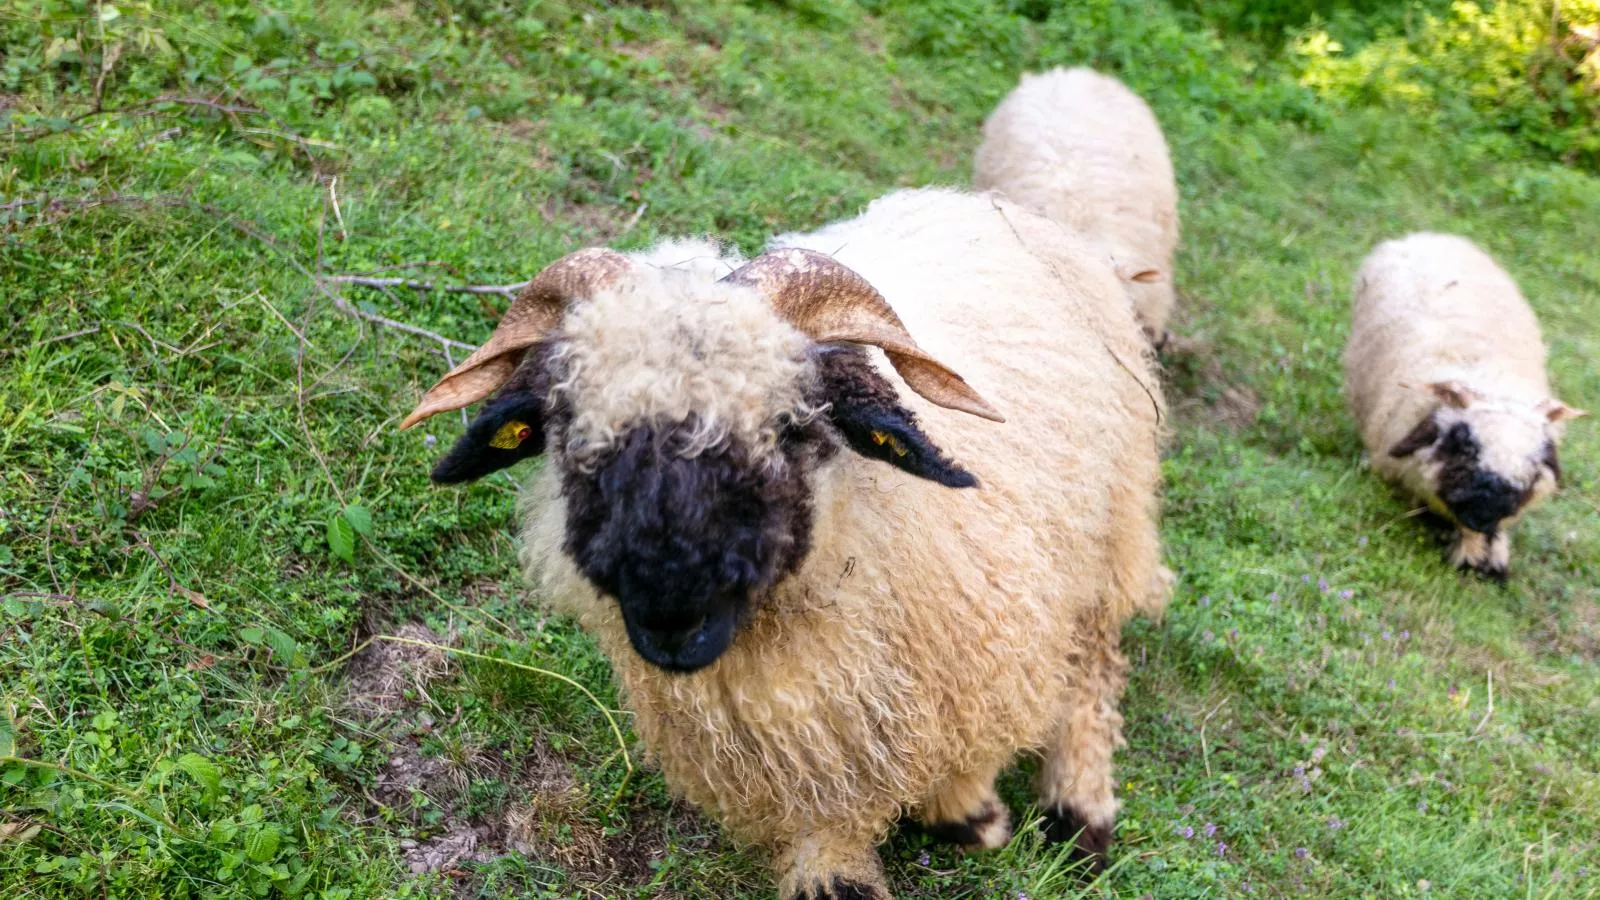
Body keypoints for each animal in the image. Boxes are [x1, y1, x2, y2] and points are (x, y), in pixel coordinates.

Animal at [406, 187, 1171, 896]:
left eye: (793, 424)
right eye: (570, 426)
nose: (672, 615)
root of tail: (991, 205)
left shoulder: (996, 644)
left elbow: (982, 740)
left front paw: (970, 811)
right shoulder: (811, 759)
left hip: (1112, 521)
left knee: (1093, 665)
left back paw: (1080, 817)